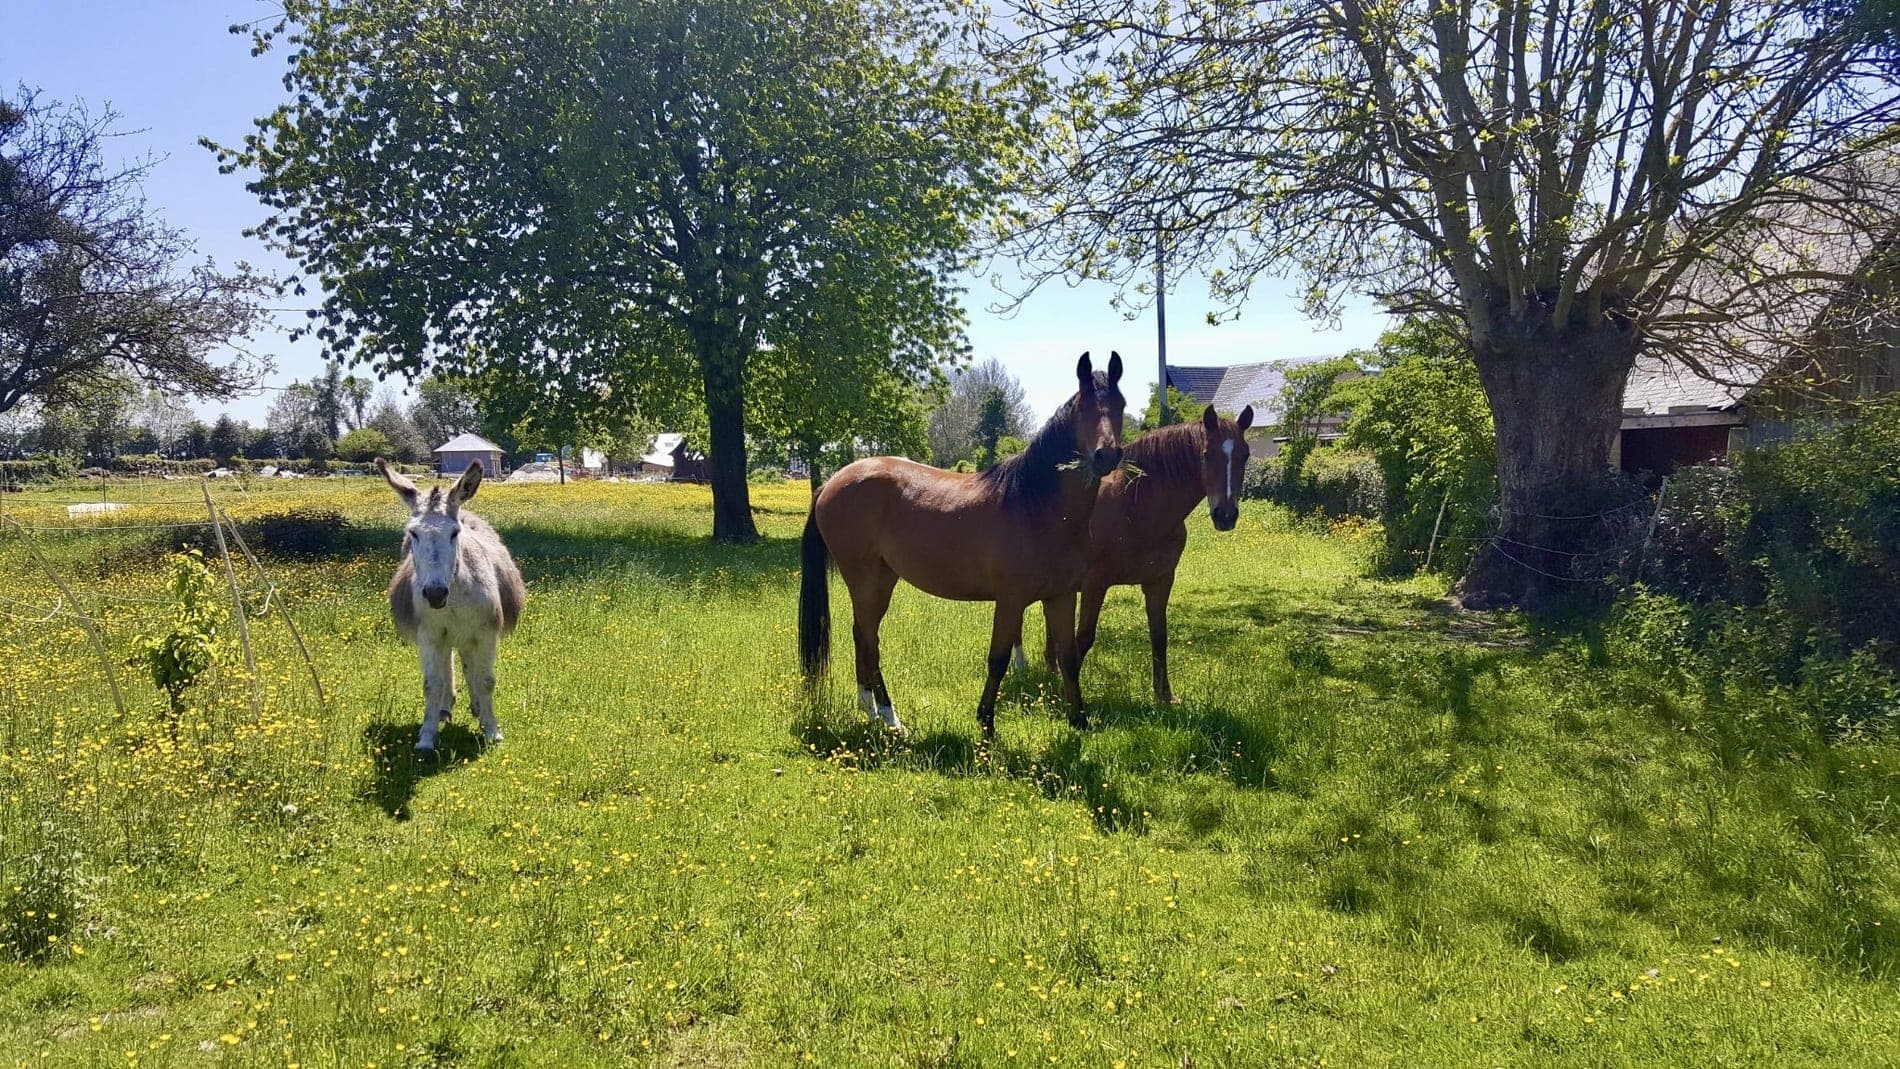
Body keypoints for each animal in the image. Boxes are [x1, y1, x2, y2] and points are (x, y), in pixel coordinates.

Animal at [378, 458, 527, 754]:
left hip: (469, 636)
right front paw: (426, 737)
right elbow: (431, 685)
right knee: (448, 666)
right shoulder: (429, 635)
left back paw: (477, 708)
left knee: (470, 666)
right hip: (445, 638)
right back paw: (445, 709)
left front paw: (492, 731)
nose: (435, 594)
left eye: (454, 533)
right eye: (413, 534)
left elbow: (486, 680)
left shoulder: (486, 632)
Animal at [800, 352, 1127, 740]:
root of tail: (831, 482)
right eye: (1082, 408)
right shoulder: (1011, 599)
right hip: (865, 580)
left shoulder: (1061, 596)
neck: (1038, 505)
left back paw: (873, 711)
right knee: (868, 639)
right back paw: (890, 717)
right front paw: (986, 723)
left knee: (863, 636)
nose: (1106, 455)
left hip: (882, 579)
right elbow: (998, 660)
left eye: (1121, 405)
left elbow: (1068, 656)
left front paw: (1078, 720)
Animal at [1015, 404, 1254, 705]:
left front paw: (1164, 695)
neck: (1136, 505)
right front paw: (1067, 693)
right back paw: (1021, 666)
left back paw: (1050, 667)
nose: (1225, 515)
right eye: (1206, 454)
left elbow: (1159, 634)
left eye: (1245, 455)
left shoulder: (1160, 581)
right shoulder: (1095, 584)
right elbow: (1084, 637)